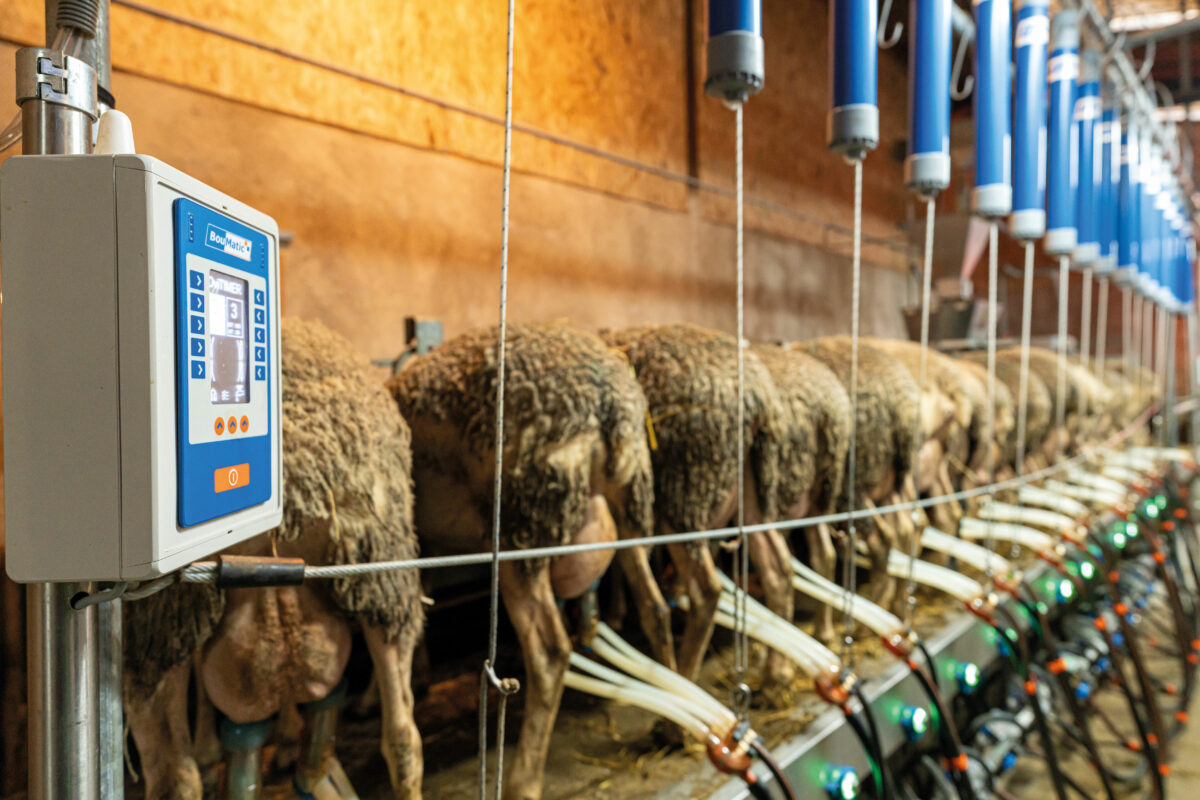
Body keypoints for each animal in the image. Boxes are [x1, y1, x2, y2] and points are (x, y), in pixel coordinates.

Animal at [388, 321, 665, 800]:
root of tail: (610, 404)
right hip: (630, 500)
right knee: (656, 607)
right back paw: (671, 727)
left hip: (523, 525)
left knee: (551, 652)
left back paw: (523, 780)